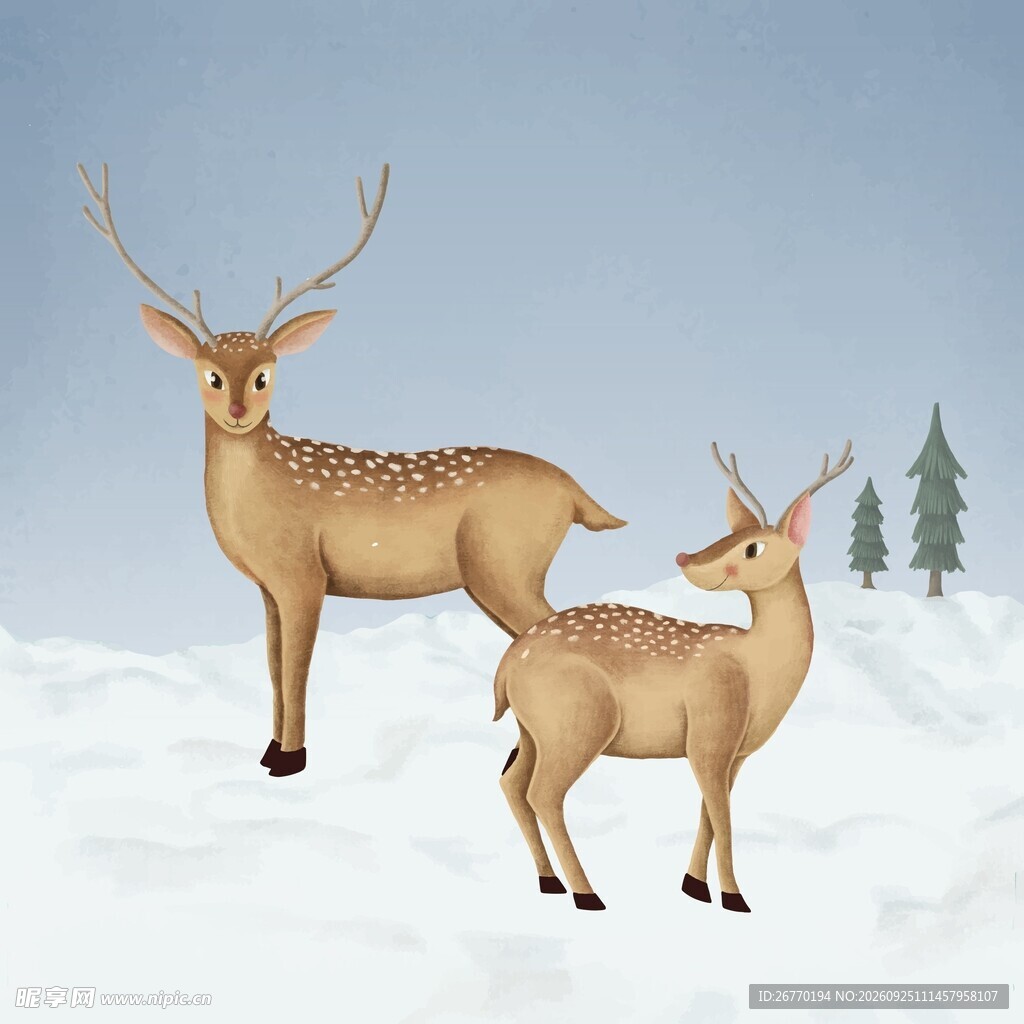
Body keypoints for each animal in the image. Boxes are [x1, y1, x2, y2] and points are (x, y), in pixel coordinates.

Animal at [77, 161, 626, 777]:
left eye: (264, 374)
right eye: (210, 375)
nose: (239, 412)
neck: (261, 497)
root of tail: (575, 490)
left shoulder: (303, 575)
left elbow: (297, 668)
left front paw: (290, 759)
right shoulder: (268, 588)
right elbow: (272, 668)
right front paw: (267, 750)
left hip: (506, 563)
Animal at [493, 439, 853, 911]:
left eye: (750, 547)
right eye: (727, 536)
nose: (686, 557)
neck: (757, 670)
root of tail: (505, 667)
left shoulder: (733, 752)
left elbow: (708, 813)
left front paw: (695, 887)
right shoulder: (710, 731)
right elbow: (723, 817)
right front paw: (735, 897)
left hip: (533, 728)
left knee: (513, 783)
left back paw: (549, 880)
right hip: (580, 720)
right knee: (544, 793)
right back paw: (587, 893)